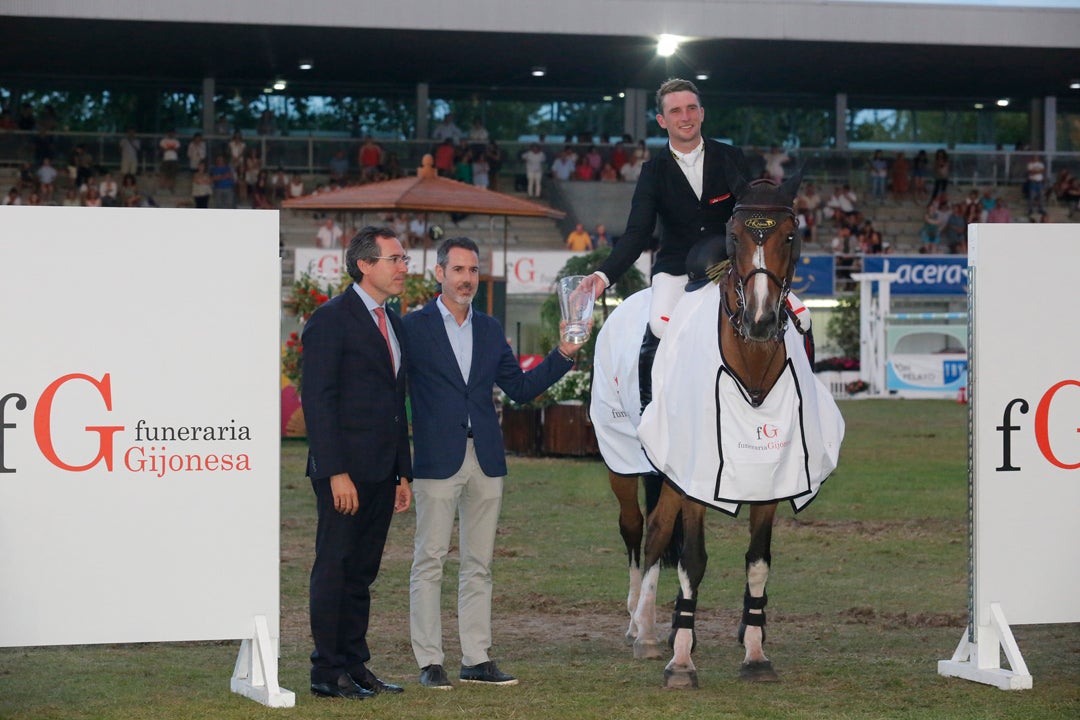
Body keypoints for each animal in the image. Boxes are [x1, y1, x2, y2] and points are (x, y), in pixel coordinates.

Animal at [591, 172, 842, 686]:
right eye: (734, 236)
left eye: (792, 236)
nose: (761, 321)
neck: (750, 365)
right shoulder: (696, 475)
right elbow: (694, 559)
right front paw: (682, 662)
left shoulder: (772, 475)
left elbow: (758, 563)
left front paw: (755, 652)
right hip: (624, 461)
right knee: (637, 528)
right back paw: (639, 624)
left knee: (658, 529)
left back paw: (656, 629)